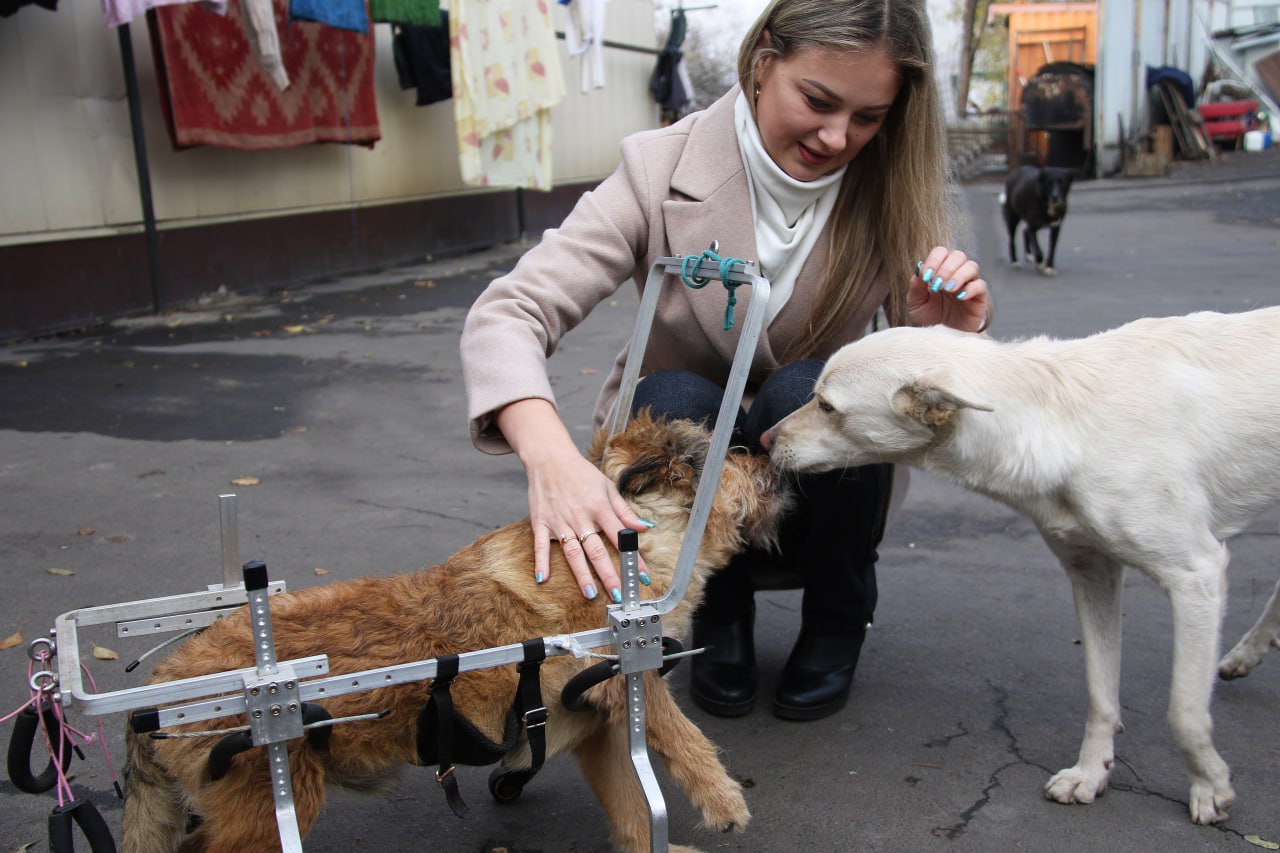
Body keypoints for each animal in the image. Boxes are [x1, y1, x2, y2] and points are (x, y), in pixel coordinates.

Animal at [122, 412, 778, 850]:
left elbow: (631, 810)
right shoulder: (630, 689)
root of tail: (152, 697)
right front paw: (722, 798)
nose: (772, 456)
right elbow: (684, 735)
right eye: (732, 452)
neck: (620, 547)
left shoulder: (598, 731)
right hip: (269, 806)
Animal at [762, 307, 1280, 824]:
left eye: (827, 406)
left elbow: (1184, 713)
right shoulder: (1093, 574)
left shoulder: (1195, 576)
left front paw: (1210, 786)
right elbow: (1100, 692)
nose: (764, 440)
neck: (1064, 419)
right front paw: (1091, 773)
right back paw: (1248, 653)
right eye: (816, 398)